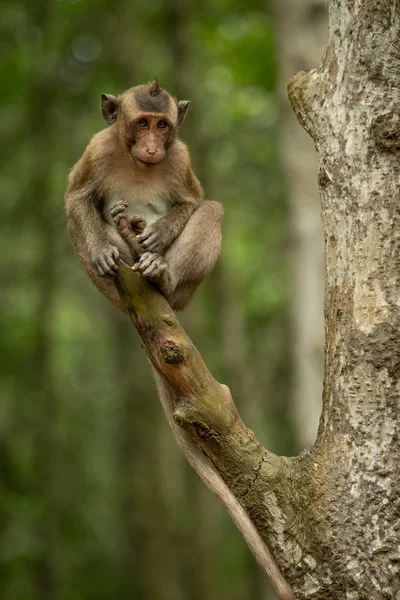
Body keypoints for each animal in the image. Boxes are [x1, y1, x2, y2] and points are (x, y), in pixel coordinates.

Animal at [64, 78, 223, 314]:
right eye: (142, 123)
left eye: (161, 125)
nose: (152, 147)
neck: (137, 162)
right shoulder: (97, 149)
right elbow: (78, 197)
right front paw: (101, 250)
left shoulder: (180, 158)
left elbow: (191, 201)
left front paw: (160, 231)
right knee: (74, 225)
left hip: (182, 295)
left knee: (212, 210)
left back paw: (162, 276)